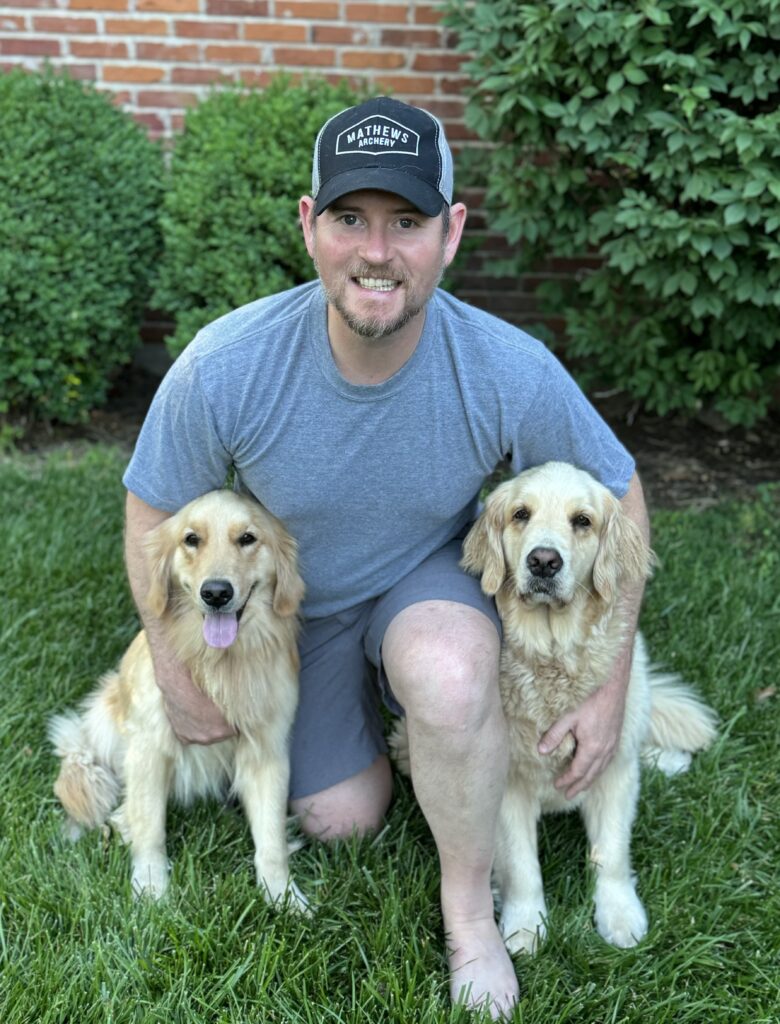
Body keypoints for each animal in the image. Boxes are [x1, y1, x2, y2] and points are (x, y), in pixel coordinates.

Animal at [47, 489, 309, 913]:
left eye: (248, 538)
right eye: (191, 539)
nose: (216, 593)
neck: (219, 662)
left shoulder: (268, 751)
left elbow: (271, 839)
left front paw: (283, 895)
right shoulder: (148, 745)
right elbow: (151, 828)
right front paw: (151, 889)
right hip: (105, 712)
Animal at [456, 460, 716, 954]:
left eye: (582, 521)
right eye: (520, 514)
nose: (543, 561)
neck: (554, 654)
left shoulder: (610, 767)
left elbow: (611, 853)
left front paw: (619, 914)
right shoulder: (508, 784)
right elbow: (522, 865)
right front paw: (524, 925)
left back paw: (667, 759)